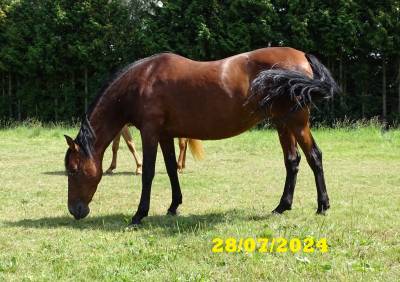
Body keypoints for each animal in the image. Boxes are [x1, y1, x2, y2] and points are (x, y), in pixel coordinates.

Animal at [64, 47, 340, 226]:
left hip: (297, 123)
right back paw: (282, 206)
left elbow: (149, 174)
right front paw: (174, 206)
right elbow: (171, 170)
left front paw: (139, 215)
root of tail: (301, 57)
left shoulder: (150, 133)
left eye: (73, 170)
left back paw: (323, 206)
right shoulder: (165, 135)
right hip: (283, 124)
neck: (142, 81)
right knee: (292, 161)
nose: (75, 211)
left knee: (314, 156)